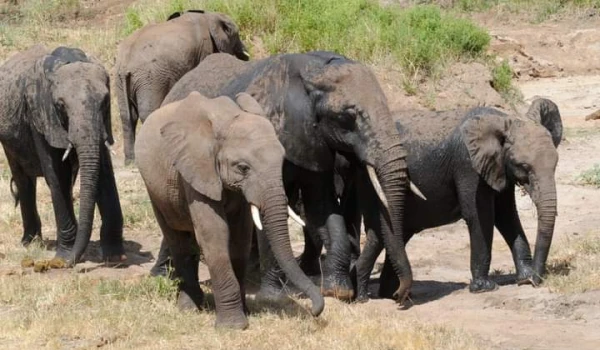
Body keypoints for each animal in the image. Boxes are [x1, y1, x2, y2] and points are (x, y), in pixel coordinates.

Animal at [0, 45, 125, 266]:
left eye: (105, 102)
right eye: (60, 106)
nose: (65, 264)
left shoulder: (100, 124)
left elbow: (103, 172)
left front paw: (115, 257)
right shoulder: (40, 116)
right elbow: (55, 175)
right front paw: (64, 256)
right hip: (9, 139)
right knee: (24, 180)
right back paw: (30, 242)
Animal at [116, 9, 250, 165]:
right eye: (236, 34)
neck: (208, 16)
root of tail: (126, 65)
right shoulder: (204, 48)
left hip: (121, 81)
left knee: (127, 117)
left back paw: (131, 161)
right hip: (150, 79)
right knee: (147, 112)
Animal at [134, 91, 326, 330]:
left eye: (282, 161)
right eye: (243, 168)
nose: (315, 311)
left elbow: (239, 237)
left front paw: (245, 313)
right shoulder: (197, 169)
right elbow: (215, 234)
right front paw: (233, 327)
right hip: (155, 189)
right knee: (178, 240)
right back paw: (189, 308)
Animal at [154, 50, 418, 304]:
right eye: (348, 116)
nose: (398, 296)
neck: (314, 72)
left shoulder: (314, 143)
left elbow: (322, 207)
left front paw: (338, 291)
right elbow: (270, 211)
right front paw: (273, 297)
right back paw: (162, 275)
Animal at [338, 98, 564, 300]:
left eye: (556, 164)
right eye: (523, 166)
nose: (536, 281)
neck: (503, 119)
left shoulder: (498, 167)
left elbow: (506, 216)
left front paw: (524, 278)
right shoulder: (468, 166)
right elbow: (480, 216)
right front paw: (485, 288)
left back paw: (394, 295)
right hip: (369, 184)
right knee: (380, 231)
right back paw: (368, 296)